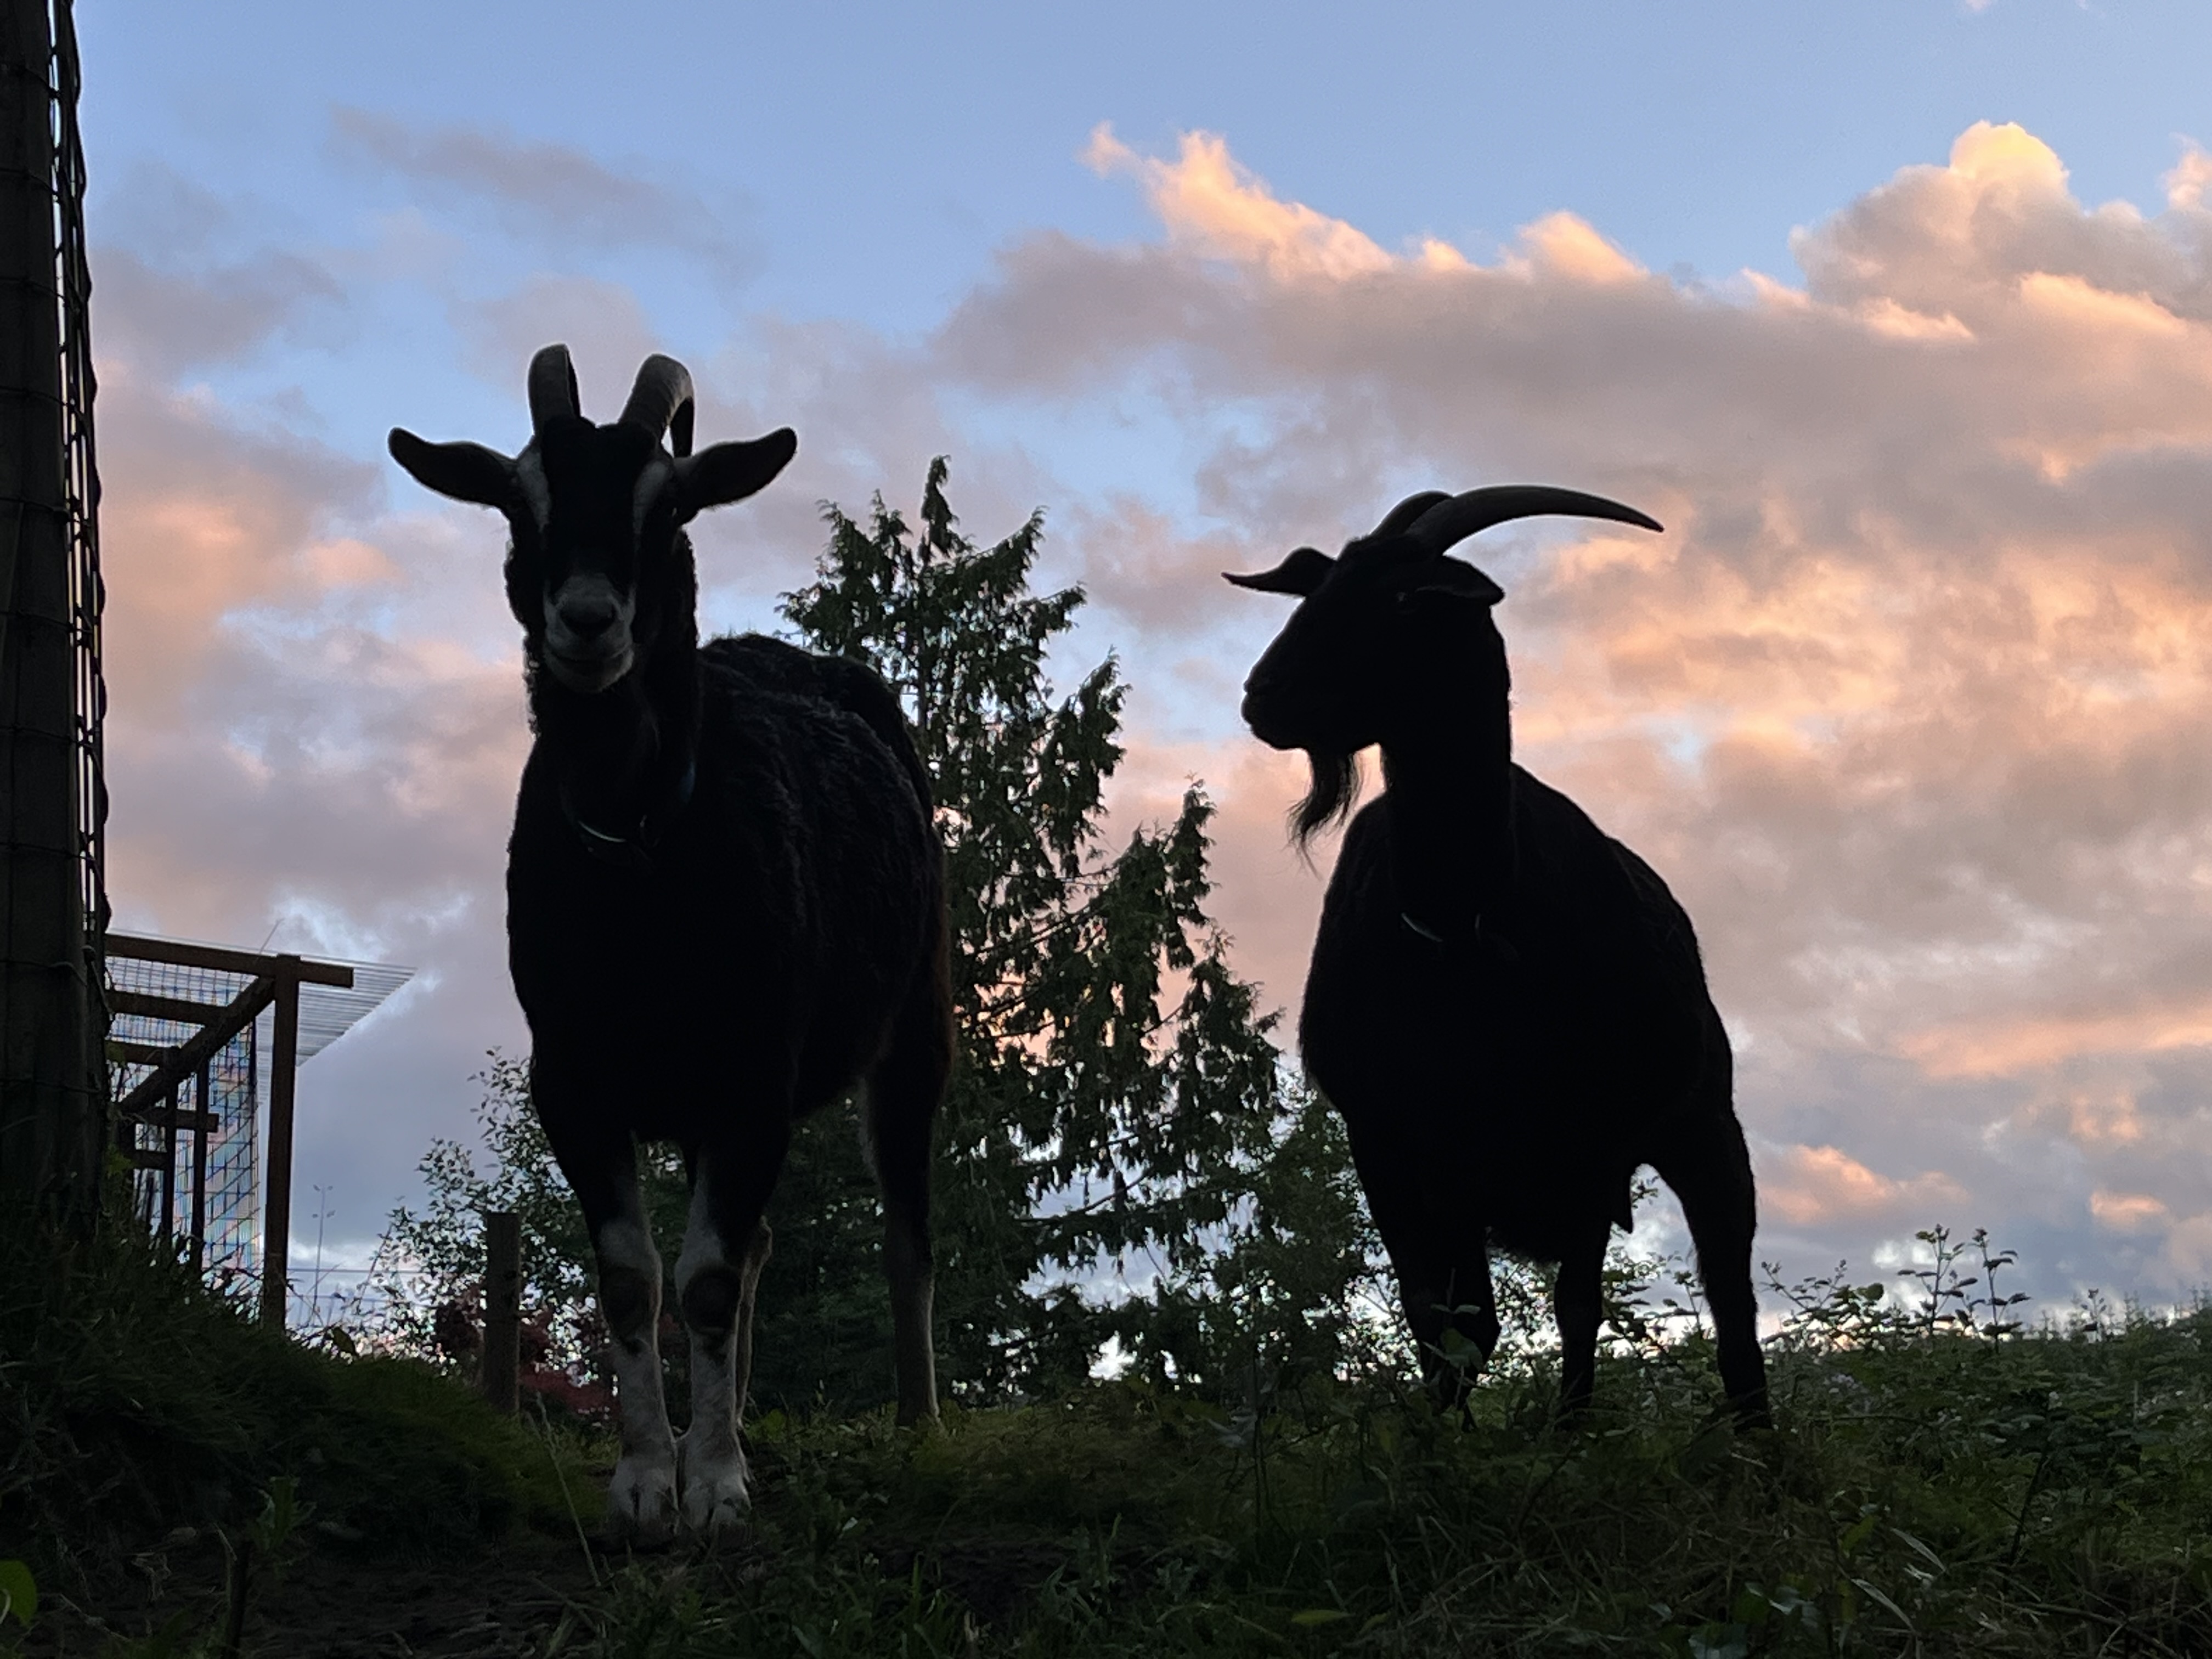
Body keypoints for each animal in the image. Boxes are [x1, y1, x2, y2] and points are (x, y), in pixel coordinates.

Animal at [390, 347, 952, 1541]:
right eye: (520, 501)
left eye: (672, 505)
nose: (588, 621)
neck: (639, 862)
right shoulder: (577, 1079)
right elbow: (634, 1278)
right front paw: (651, 1477)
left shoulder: (750, 1073)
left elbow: (703, 1279)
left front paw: (720, 1486)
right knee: (759, 1250)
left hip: (915, 1021)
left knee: (902, 1228)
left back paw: (917, 1419)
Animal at [1227, 487, 1769, 1424]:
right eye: (1319, 586)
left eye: (1406, 599)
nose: (1265, 697)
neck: (1464, 928)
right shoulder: (1393, 1147)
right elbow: (1448, 1323)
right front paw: (1441, 1443)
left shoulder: (1590, 1138)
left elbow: (1572, 1304)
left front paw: (1565, 1434)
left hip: (1702, 1127)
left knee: (1727, 1290)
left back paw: (1750, 1432)